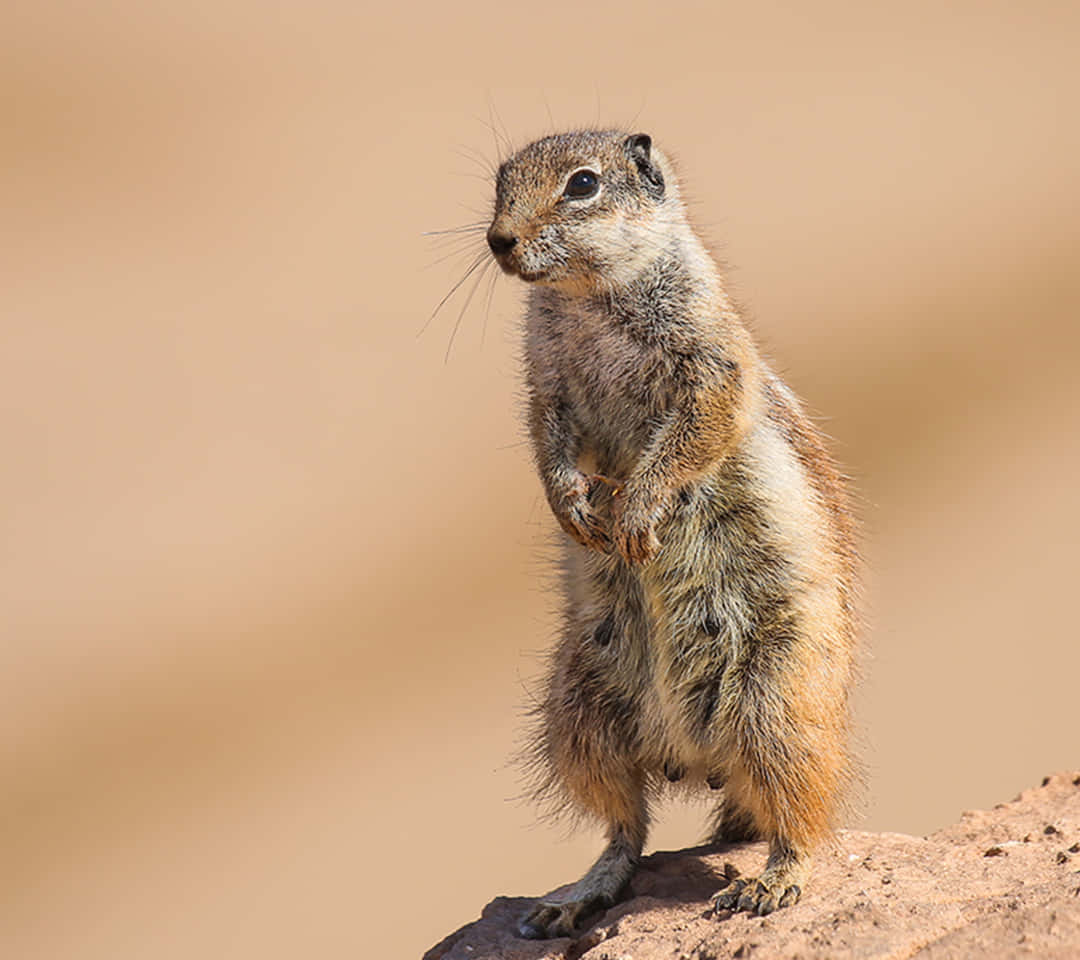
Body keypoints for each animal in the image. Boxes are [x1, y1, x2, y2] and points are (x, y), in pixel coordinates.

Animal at [486, 127, 855, 937]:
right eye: (499, 181)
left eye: (583, 184)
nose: (499, 240)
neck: (586, 299)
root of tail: (694, 756)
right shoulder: (545, 383)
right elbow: (547, 440)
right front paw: (575, 510)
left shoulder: (706, 361)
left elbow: (694, 430)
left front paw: (635, 516)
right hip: (577, 709)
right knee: (626, 824)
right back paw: (577, 897)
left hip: (774, 698)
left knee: (801, 811)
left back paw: (771, 884)